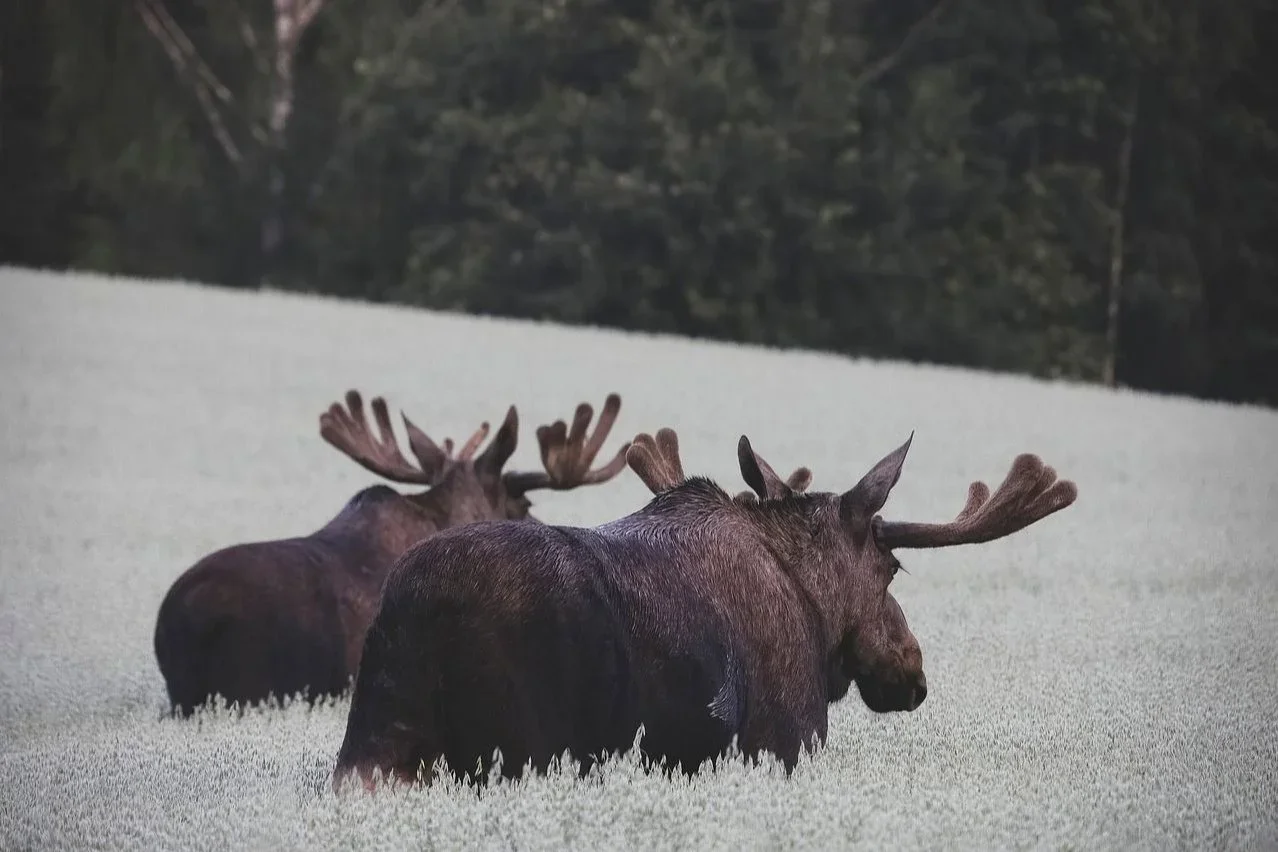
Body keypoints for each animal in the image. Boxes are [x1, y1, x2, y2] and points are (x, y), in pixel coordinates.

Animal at [330, 425, 1078, 791]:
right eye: (893, 567)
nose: (911, 671)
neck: (813, 613)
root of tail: (413, 616)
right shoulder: (784, 741)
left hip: (373, 748)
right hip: (518, 749)